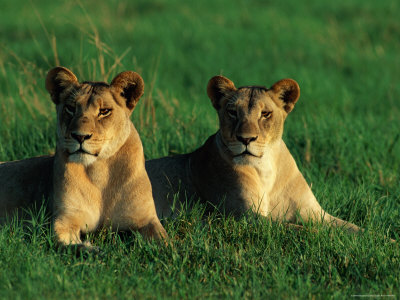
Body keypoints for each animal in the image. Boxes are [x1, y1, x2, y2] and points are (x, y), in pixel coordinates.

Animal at [0, 67, 166, 247]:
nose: (80, 136)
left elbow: (166, 244)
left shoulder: (146, 219)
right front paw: (91, 249)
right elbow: (68, 246)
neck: (99, 171)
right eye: (70, 108)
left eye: (104, 111)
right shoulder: (65, 219)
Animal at [145, 74, 360, 232]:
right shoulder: (244, 216)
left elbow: (350, 227)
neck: (265, 169)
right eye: (232, 112)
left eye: (265, 114)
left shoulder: (313, 211)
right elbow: (300, 229)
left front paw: (365, 237)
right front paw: (325, 236)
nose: (246, 139)